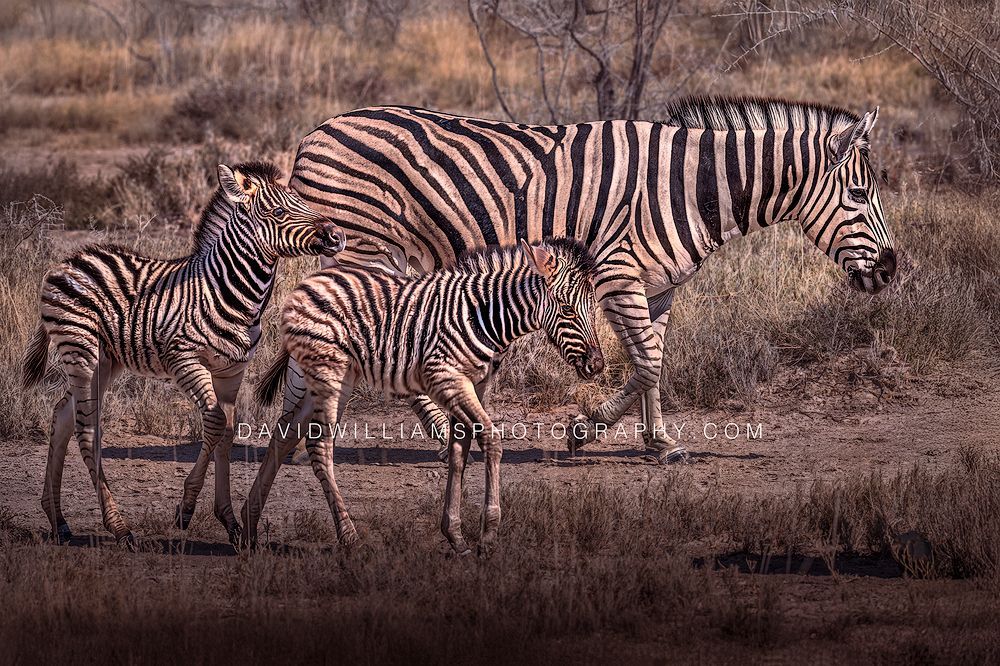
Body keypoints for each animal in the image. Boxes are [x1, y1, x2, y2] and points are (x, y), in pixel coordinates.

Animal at [21, 162, 346, 549]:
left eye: (303, 202)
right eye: (280, 212)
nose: (337, 236)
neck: (228, 292)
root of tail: (68, 261)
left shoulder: (232, 370)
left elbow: (227, 432)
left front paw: (230, 522)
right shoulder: (186, 361)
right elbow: (214, 423)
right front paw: (187, 508)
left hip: (105, 360)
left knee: (63, 416)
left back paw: (58, 522)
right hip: (80, 349)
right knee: (86, 429)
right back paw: (119, 528)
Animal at [244, 237, 605, 554]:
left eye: (592, 307)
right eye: (568, 310)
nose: (597, 364)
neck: (484, 316)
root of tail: (305, 284)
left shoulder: (473, 385)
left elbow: (459, 452)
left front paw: (455, 535)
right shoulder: (445, 378)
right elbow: (491, 441)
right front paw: (488, 536)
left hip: (332, 380)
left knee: (284, 434)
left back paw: (245, 528)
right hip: (328, 374)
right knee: (319, 446)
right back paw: (349, 537)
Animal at [285, 95, 897, 463]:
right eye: (859, 195)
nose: (891, 270)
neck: (692, 188)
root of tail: (314, 133)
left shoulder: (658, 284)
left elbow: (651, 360)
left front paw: (631, 436)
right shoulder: (617, 271)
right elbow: (645, 362)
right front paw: (623, 436)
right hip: (369, 247)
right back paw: (436, 434)